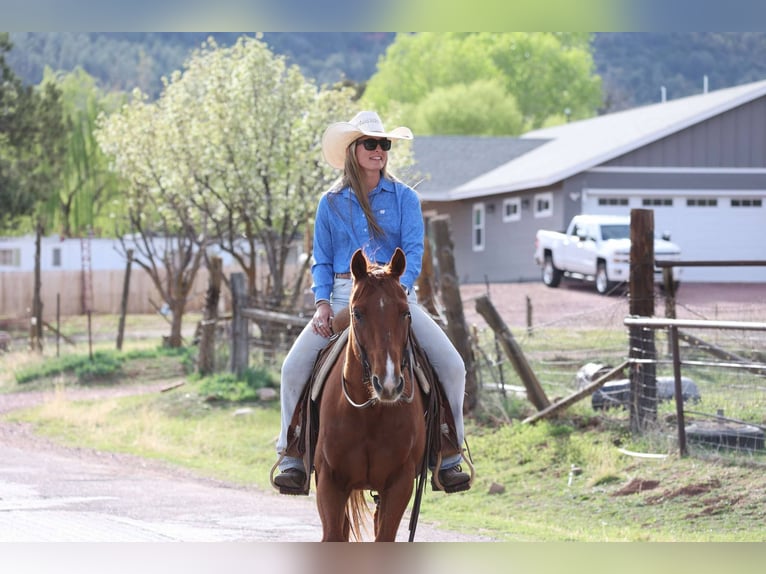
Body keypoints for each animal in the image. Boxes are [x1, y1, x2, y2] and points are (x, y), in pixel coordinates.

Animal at [313, 247, 426, 542]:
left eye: (405, 312)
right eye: (358, 313)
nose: (388, 383)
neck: (370, 414)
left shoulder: (399, 484)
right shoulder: (329, 482)